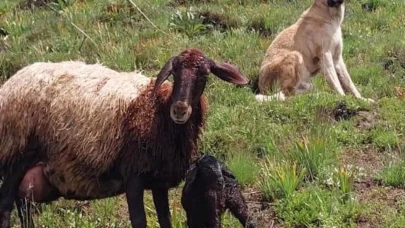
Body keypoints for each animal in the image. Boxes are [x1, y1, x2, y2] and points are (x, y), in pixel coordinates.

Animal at [0, 47, 249, 227]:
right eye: (174, 73)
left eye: (204, 75)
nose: (179, 110)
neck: (157, 109)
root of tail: (10, 83)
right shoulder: (133, 176)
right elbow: (139, 222)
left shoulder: (159, 181)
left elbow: (165, 220)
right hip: (17, 154)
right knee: (6, 206)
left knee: (24, 208)